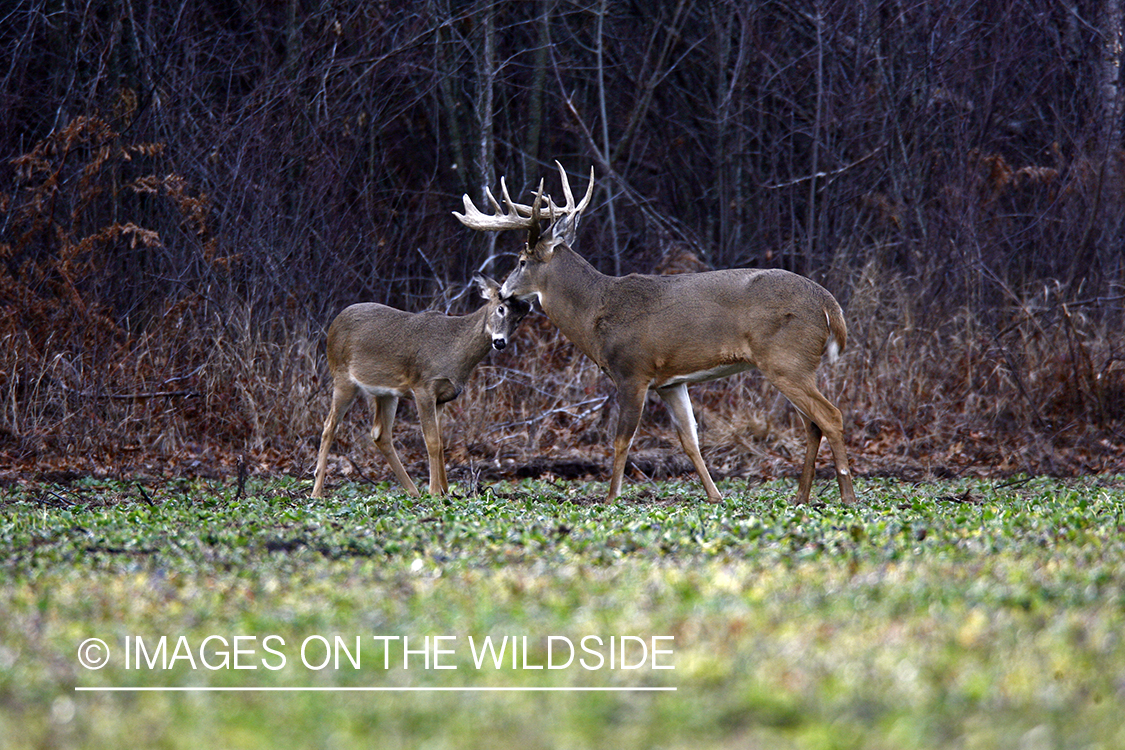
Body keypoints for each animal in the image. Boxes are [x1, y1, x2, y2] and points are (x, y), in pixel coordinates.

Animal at [310, 275, 528, 499]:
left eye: (520, 318)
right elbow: (432, 441)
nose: (500, 342)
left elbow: (441, 443)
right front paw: (434, 491)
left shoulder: (442, 397)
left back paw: (413, 490)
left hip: (386, 392)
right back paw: (317, 491)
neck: (454, 350)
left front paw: (445, 490)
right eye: (501, 308)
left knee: (380, 434)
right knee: (329, 426)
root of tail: (334, 324)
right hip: (342, 378)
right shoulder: (423, 388)